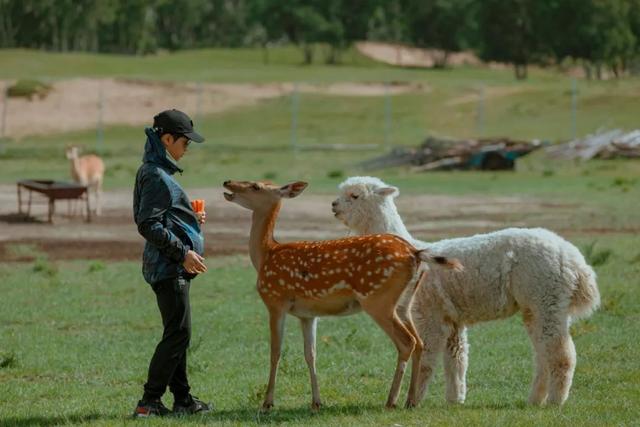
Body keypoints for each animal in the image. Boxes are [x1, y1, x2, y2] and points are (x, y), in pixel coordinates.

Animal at [221, 181, 460, 412]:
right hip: (404, 303)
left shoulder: (275, 301)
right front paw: (316, 402)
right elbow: (311, 353)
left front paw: (268, 403)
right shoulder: (307, 314)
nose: (228, 182)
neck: (265, 254)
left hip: (378, 300)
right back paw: (410, 401)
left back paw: (391, 401)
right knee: (419, 342)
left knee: (407, 342)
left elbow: (275, 351)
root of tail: (415, 253)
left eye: (256, 186)